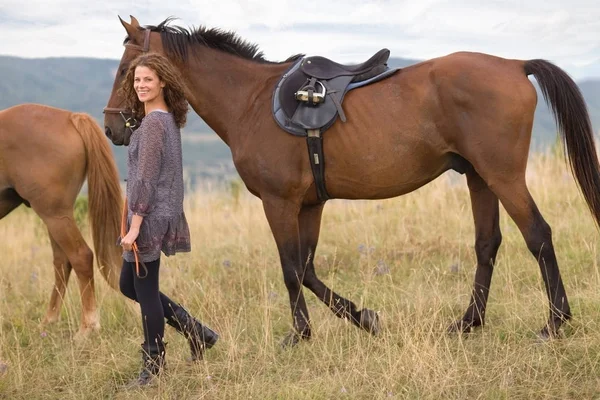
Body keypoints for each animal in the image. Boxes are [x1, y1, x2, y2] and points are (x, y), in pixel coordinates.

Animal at [0, 104, 123, 338]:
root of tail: (70, 117)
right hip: (55, 218)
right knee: (62, 262)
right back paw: (49, 321)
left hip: (54, 215)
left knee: (81, 257)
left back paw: (87, 328)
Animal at [104, 17, 600, 346]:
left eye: (128, 69)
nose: (112, 127)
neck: (250, 101)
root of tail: (515, 64)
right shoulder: (309, 205)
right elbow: (307, 269)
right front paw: (364, 317)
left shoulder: (279, 202)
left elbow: (290, 269)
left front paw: (300, 334)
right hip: (479, 178)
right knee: (487, 245)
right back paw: (468, 322)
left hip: (502, 175)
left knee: (538, 235)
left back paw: (555, 322)